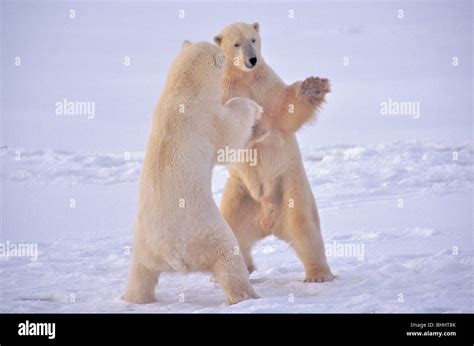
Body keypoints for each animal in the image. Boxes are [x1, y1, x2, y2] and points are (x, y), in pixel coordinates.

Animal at [122, 41, 262, 306]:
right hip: (206, 231)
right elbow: (229, 136)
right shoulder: (207, 118)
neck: (180, 90)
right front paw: (254, 107)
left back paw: (133, 298)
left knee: (141, 273)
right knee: (229, 255)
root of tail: (171, 252)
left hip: (144, 246)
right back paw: (246, 296)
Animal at [213, 21, 336, 282]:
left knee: (303, 226)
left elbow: (285, 108)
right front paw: (252, 124)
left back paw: (318, 274)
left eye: (253, 39)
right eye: (236, 43)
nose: (252, 60)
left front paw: (313, 86)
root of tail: (266, 222)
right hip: (240, 195)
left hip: (290, 187)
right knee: (230, 231)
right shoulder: (225, 91)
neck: (244, 77)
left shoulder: (266, 86)